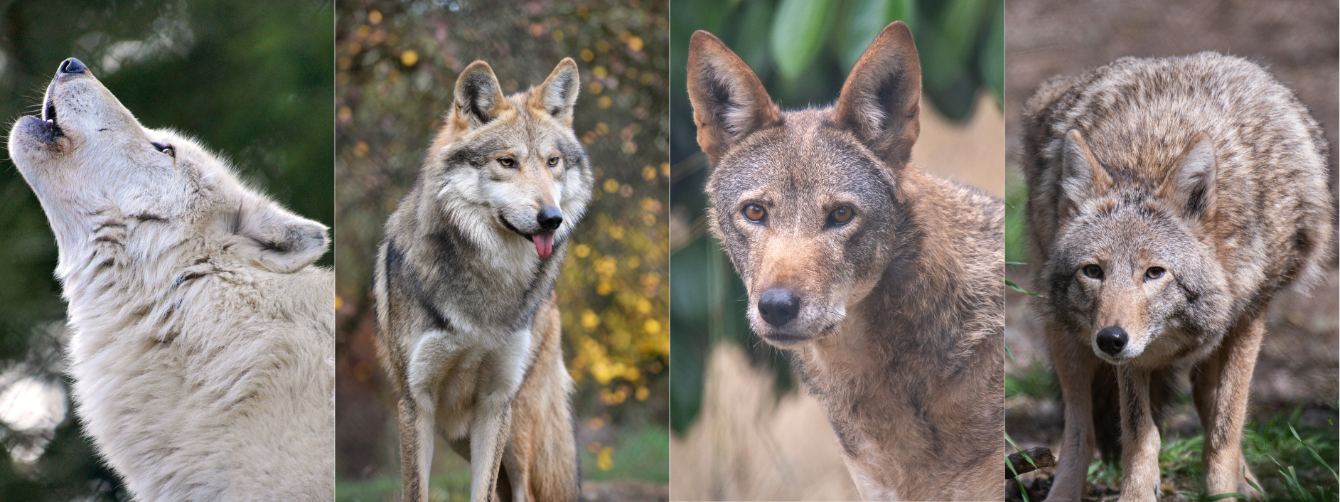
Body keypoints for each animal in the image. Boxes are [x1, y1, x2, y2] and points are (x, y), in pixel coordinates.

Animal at [374, 58, 591, 502]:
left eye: (553, 162)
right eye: (507, 162)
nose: (552, 219)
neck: (490, 280)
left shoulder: (495, 403)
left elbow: (483, 494)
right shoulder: (416, 403)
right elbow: (417, 491)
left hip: (518, 432)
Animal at [1022, 52, 1333, 501]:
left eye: (1155, 273)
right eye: (1093, 271)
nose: (1110, 339)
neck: (1148, 159)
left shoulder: (1249, 317)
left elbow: (1225, 426)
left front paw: (1224, 492)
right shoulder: (1131, 354)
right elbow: (1140, 433)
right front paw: (1137, 493)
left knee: (1208, 399)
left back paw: (1247, 482)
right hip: (1063, 332)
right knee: (1080, 431)